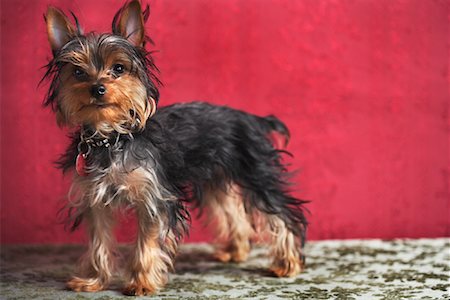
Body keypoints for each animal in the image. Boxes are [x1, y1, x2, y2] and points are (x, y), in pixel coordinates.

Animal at [42, 0, 308, 296]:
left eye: (119, 69)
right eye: (77, 72)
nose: (97, 88)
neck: (112, 137)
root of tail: (253, 119)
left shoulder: (154, 197)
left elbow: (146, 242)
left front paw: (141, 282)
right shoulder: (95, 198)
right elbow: (98, 241)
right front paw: (93, 280)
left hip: (256, 174)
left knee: (282, 214)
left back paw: (287, 264)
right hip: (216, 179)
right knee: (233, 211)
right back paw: (235, 251)